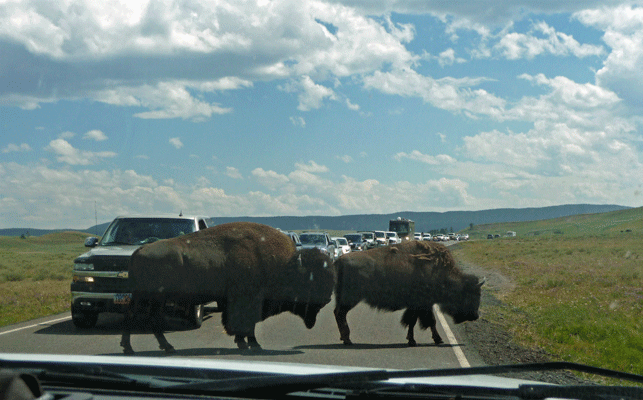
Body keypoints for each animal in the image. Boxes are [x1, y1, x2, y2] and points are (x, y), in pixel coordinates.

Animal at [119, 220, 338, 354]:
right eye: (311, 279)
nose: (326, 299)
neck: (286, 265)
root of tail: (138, 251)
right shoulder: (247, 301)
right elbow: (247, 324)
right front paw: (252, 345)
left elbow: (245, 325)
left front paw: (243, 343)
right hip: (151, 297)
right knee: (138, 317)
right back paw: (136, 348)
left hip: (151, 298)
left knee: (144, 318)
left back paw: (157, 347)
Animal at [334, 241, 480, 346]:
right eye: (469, 295)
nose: (476, 315)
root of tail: (339, 260)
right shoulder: (422, 304)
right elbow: (424, 321)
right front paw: (420, 340)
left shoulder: (422, 305)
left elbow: (417, 321)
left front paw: (423, 339)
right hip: (350, 299)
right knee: (340, 313)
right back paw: (347, 340)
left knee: (338, 313)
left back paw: (344, 338)